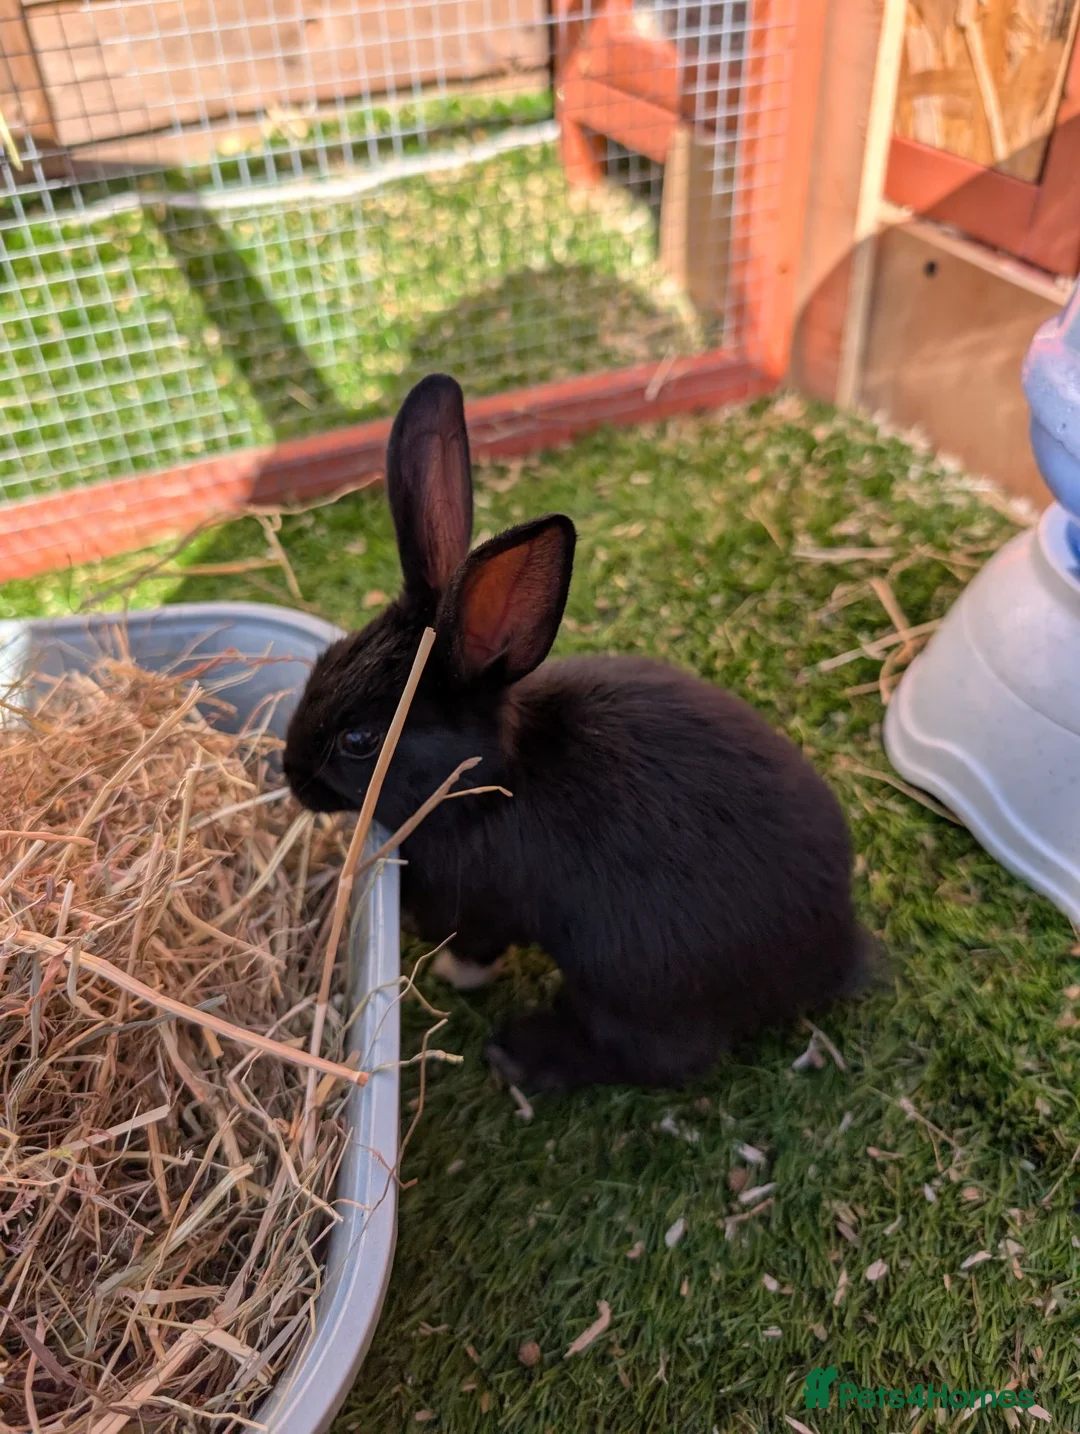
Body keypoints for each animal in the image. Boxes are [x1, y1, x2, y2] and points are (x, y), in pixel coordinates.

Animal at [283, 373, 868, 1092]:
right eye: (325, 659)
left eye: (360, 742)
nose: (289, 775)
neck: (489, 784)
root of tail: (836, 951)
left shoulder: (478, 907)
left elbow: (473, 947)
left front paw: (451, 975)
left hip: (631, 980)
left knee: (663, 1058)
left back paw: (521, 1052)